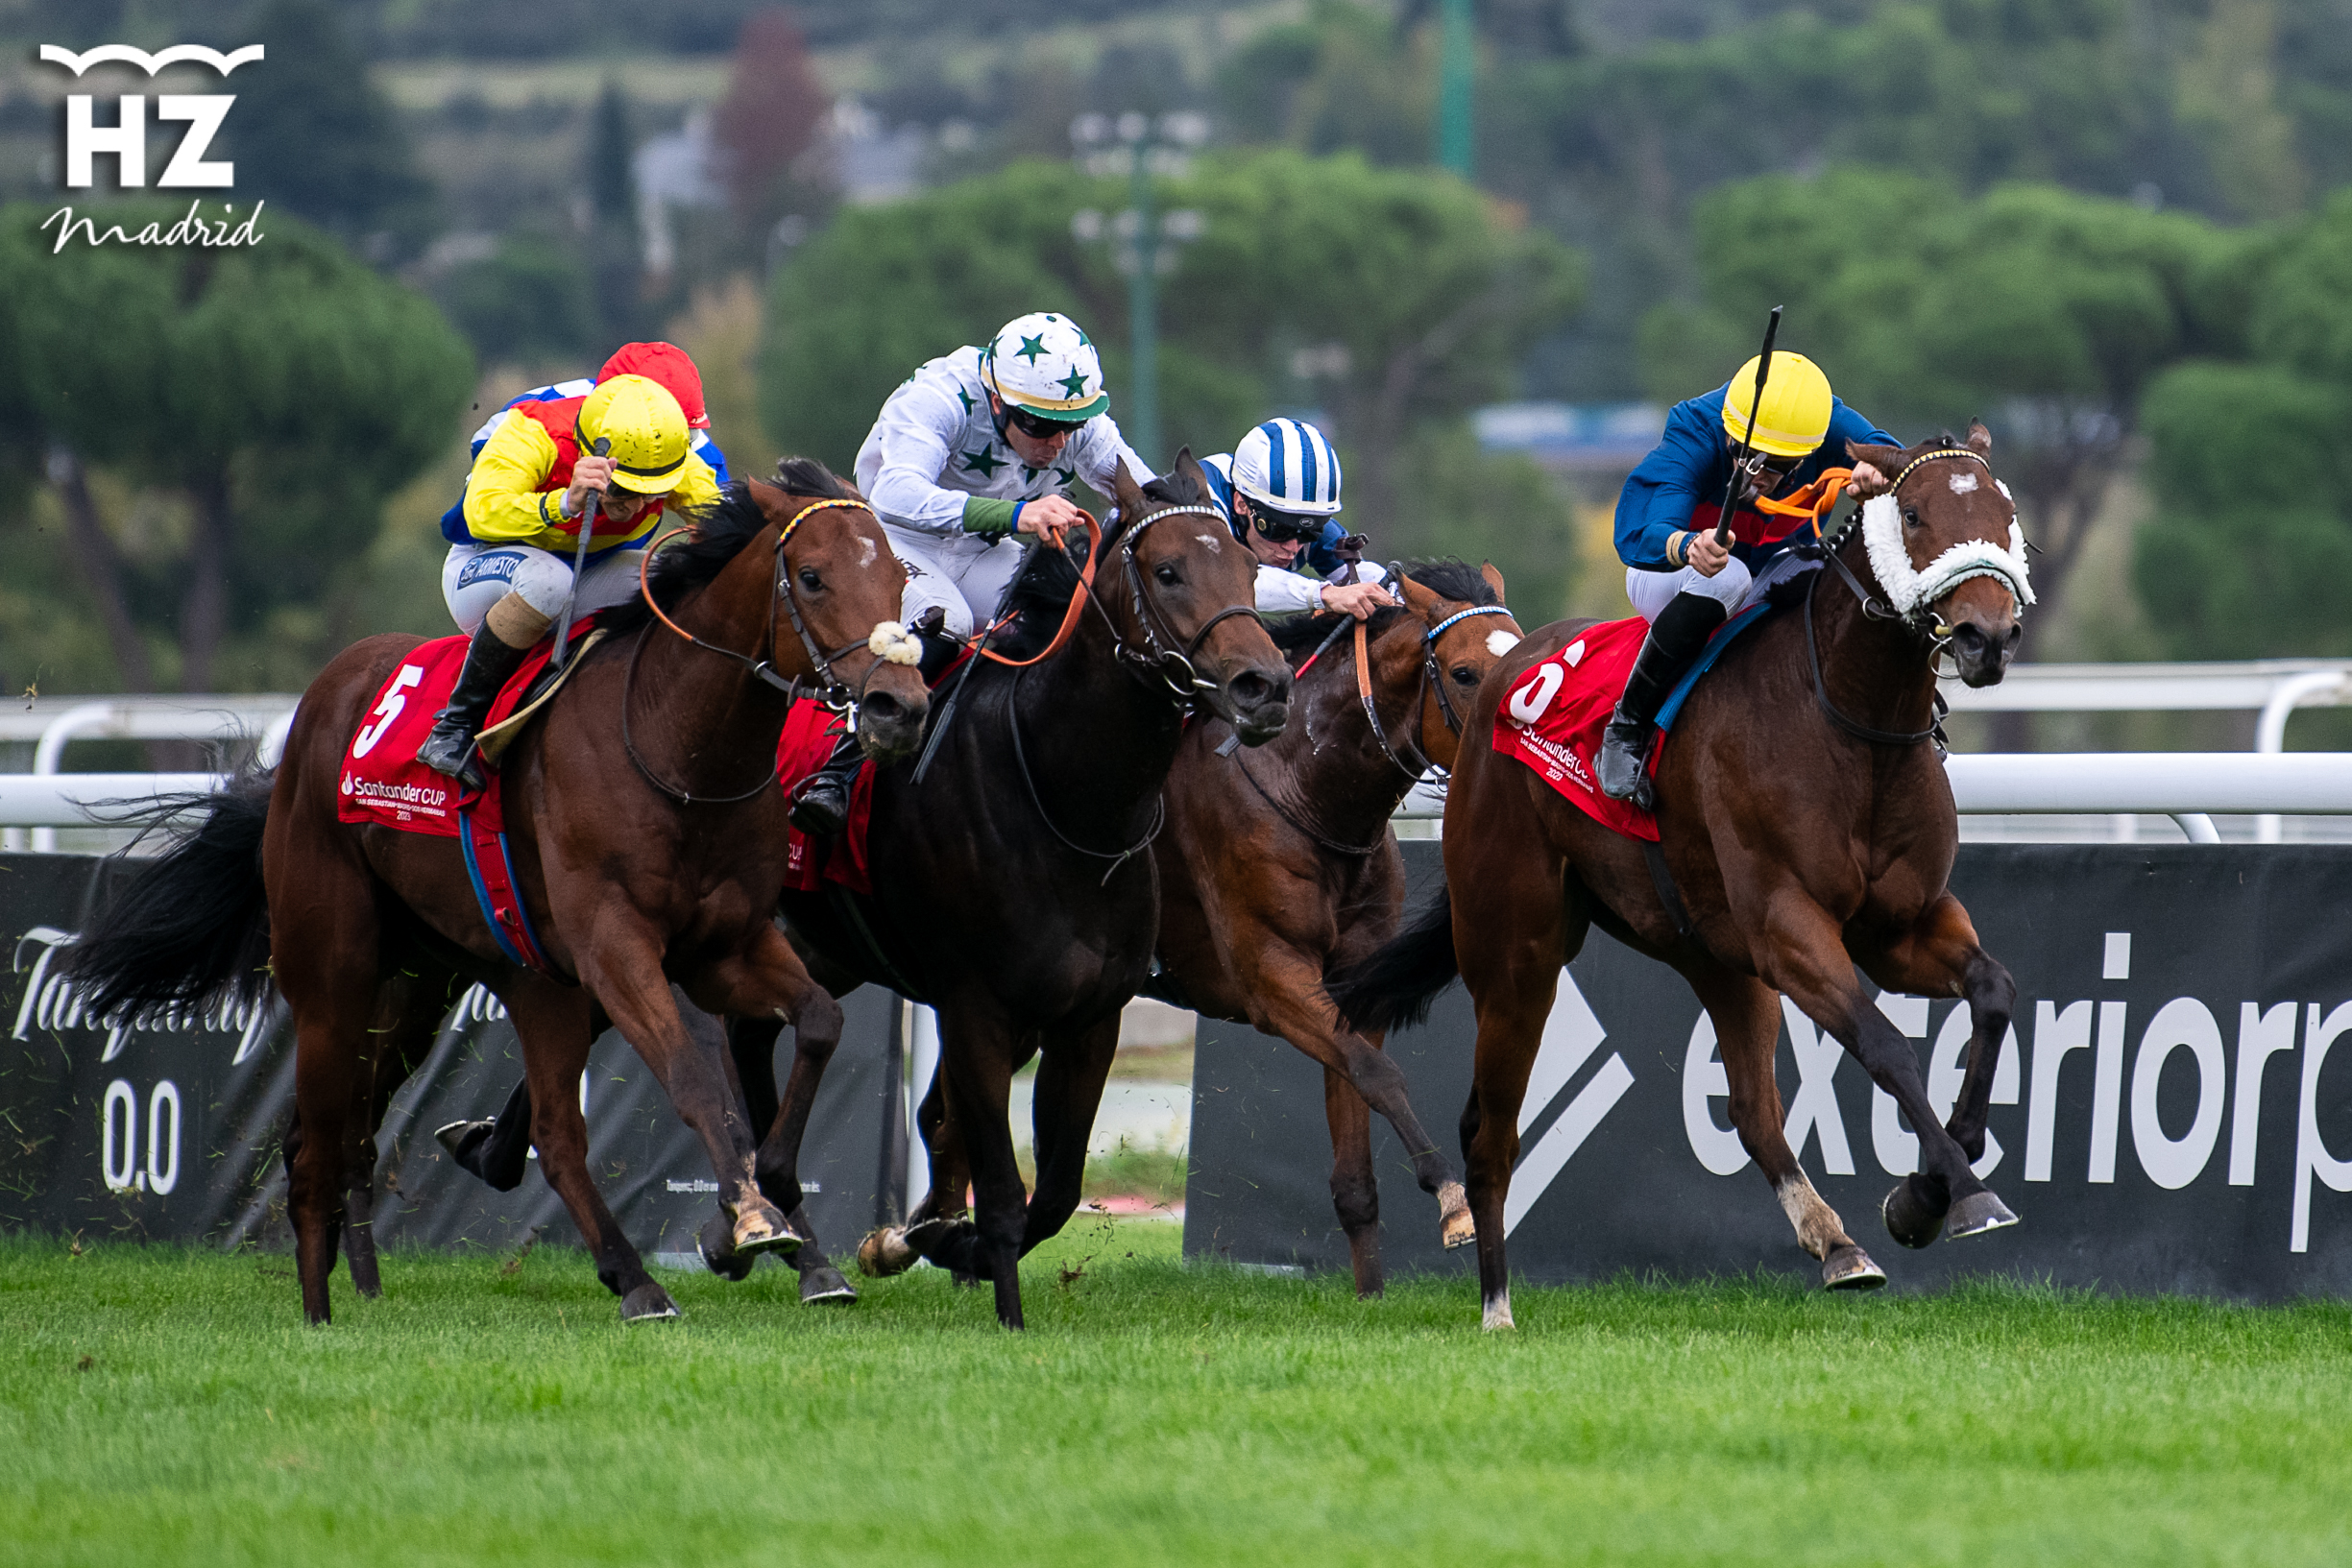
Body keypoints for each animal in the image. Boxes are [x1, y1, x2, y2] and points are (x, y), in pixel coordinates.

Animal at [71, 470, 926, 1325]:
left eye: (898, 576)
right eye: (812, 577)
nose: (900, 706)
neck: (676, 746)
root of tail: (325, 695)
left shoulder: (728, 944)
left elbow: (819, 1021)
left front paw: (776, 1191)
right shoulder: (617, 947)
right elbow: (693, 1077)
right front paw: (748, 1218)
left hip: (461, 979)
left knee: (508, 1130)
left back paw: (622, 1277)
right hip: (333, 971)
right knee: (320, 1141)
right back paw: (320, 1311)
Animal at [724, 460, 1297, 1335]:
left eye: (1248, 568)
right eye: (1167, 570)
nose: (1263, 686)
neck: (1065, 803)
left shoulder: (1090, 1018)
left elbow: (1055, 1191)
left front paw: (924, 1239)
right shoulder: (975, 1011)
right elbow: (999, 1185)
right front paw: (997, 1299)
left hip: (822, 950)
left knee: (754, 1037)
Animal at [1336, 425, 2031, 1325]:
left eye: (2004, 510)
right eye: (1912, 513)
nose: (1988, 636)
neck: (1848, 719)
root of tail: (1505, 668)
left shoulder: (1898, 925)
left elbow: (1992, 991)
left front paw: (1929, 1185)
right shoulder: (1788, 925)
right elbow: (1884, 1044)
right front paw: (1958, 1194)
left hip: (1709, 949)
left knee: (1751, 1108)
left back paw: (1837, 1245)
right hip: (1516, 950)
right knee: (1489, 1130)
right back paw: (1495, 1301)